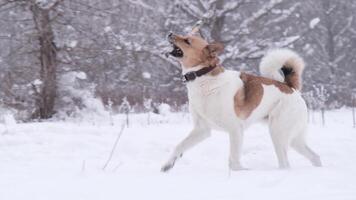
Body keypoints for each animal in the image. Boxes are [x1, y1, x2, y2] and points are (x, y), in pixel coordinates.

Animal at [162, 28, 322, 172]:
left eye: (187, 41)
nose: (170, 33)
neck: (204, 79)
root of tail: (290, 87)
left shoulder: (235, 129)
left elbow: (233, 161)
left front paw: (241, 172)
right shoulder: (202, 130)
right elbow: (179, 146)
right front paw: (167, 165)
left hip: (278, 132)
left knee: (285, 164)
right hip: (293, 139)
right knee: (314, 156)